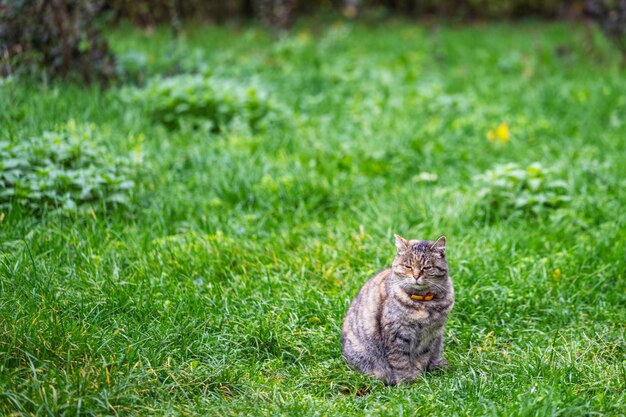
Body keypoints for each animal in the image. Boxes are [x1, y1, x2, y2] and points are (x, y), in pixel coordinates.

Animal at [342, 234, 454, 384]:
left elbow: (421, 359)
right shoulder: (396, 334)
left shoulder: (430, 335)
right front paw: (408, 382)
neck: (423, 304)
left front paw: (418, 378)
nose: (416, 276)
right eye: (408, 266)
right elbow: (400, 361)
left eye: (427, 267)